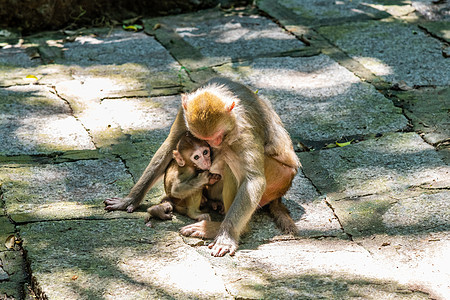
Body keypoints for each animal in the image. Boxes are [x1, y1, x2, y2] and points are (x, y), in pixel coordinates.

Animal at [104, 78, 300, 256]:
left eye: (218, 136)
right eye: (203, 139)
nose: (213, 146)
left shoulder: (243, 128)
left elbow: (253, 180)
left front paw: (226, 238)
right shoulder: (183, 113)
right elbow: (170, 146)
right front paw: (129, 200)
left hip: (279, 176)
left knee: (230, 158)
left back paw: (218, 228)